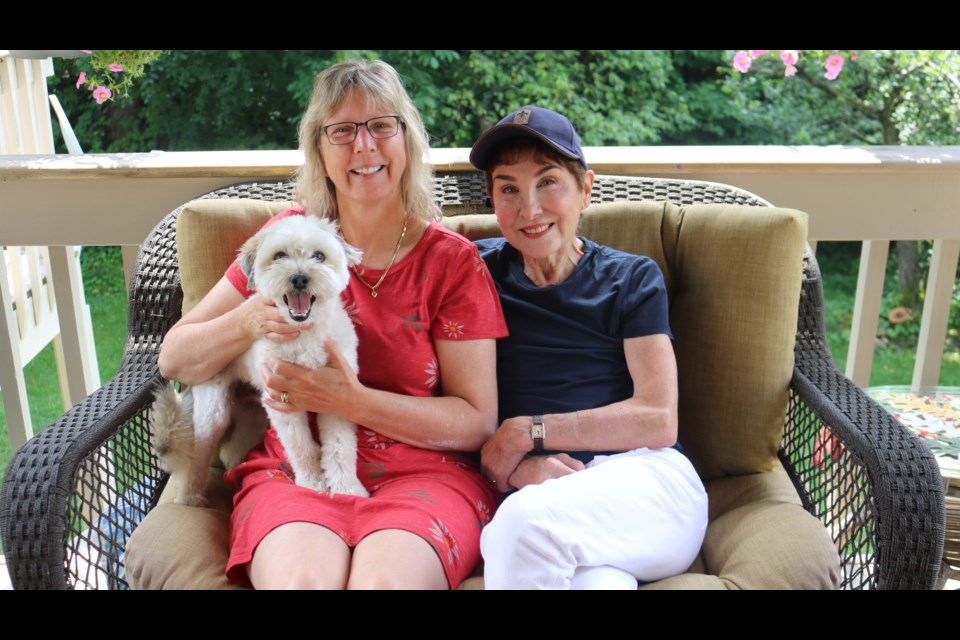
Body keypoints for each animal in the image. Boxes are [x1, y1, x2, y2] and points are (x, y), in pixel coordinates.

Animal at [154, 215, 368, 504]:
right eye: (279, 256)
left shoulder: (337, 398)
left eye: (319, 256)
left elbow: (340, 448)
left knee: (233, 444)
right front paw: (313, 484)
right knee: (197, 456)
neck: (304, 333)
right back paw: (190, 497)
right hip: (213, 412)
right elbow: (302, 449)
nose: (299, 278)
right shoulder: (284, 404)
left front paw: (347, 489)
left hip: (254, 411)